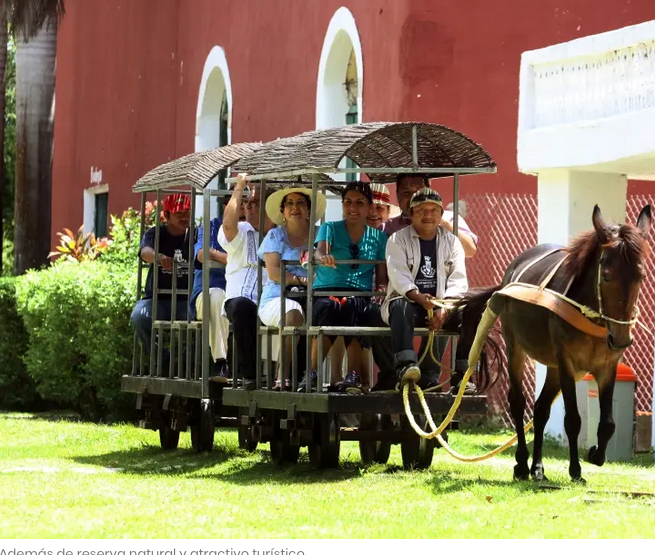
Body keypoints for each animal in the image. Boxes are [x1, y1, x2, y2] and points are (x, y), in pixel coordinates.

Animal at [462, 205, 652, 482]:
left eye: (642, 275)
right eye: (606, 276)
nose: (621, 338)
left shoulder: (608, 366)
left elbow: (608, 423)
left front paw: (595, 454)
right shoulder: (567, 362)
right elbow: (572, 419)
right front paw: (575, 469)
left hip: (552, 366)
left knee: (541, 409)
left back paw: (538, 468)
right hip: (516, 347)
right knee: (518, 403)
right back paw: (522, 464)